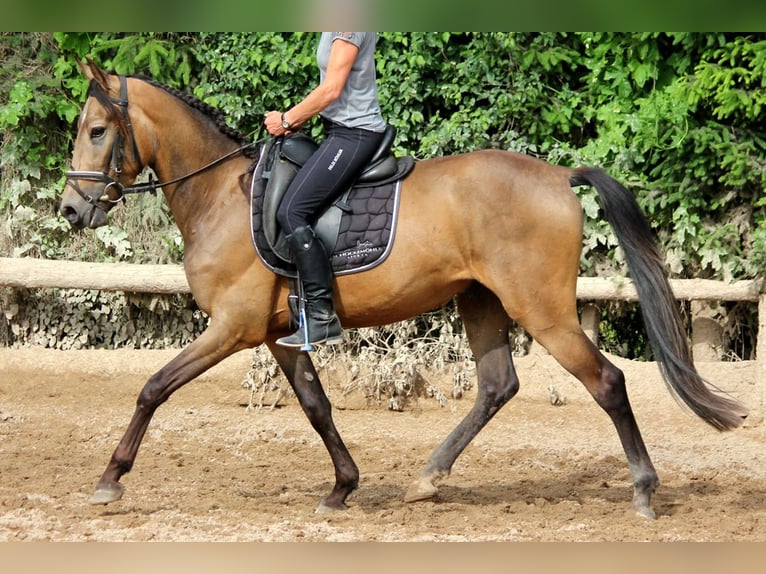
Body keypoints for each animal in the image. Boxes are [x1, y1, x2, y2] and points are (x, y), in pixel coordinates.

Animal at [60, 59, 752, 520]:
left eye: (97, 131)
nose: (70, 211)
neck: (222, 198)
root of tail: (558, 176)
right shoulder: (279, 335)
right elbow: (317, 407)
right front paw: (342, 486)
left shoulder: (232, 328)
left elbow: (153, 388)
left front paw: (109, 479)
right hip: (481, 299)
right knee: (497, 385)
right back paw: (427, 479)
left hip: (543, 309)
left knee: (606, 381)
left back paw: (643, 490)